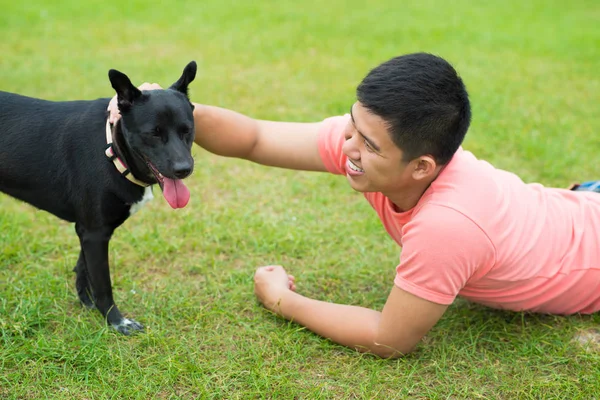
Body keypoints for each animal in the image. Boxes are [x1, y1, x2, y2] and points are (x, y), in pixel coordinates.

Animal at [0, 60, 198, 334]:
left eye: (186, 130)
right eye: (154, 133)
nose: (184, 169)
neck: (111, 150)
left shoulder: (87, 230)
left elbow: (83, 269)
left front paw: (87, 304)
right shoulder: (95, 233)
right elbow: (103, 284)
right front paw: (116, 321)